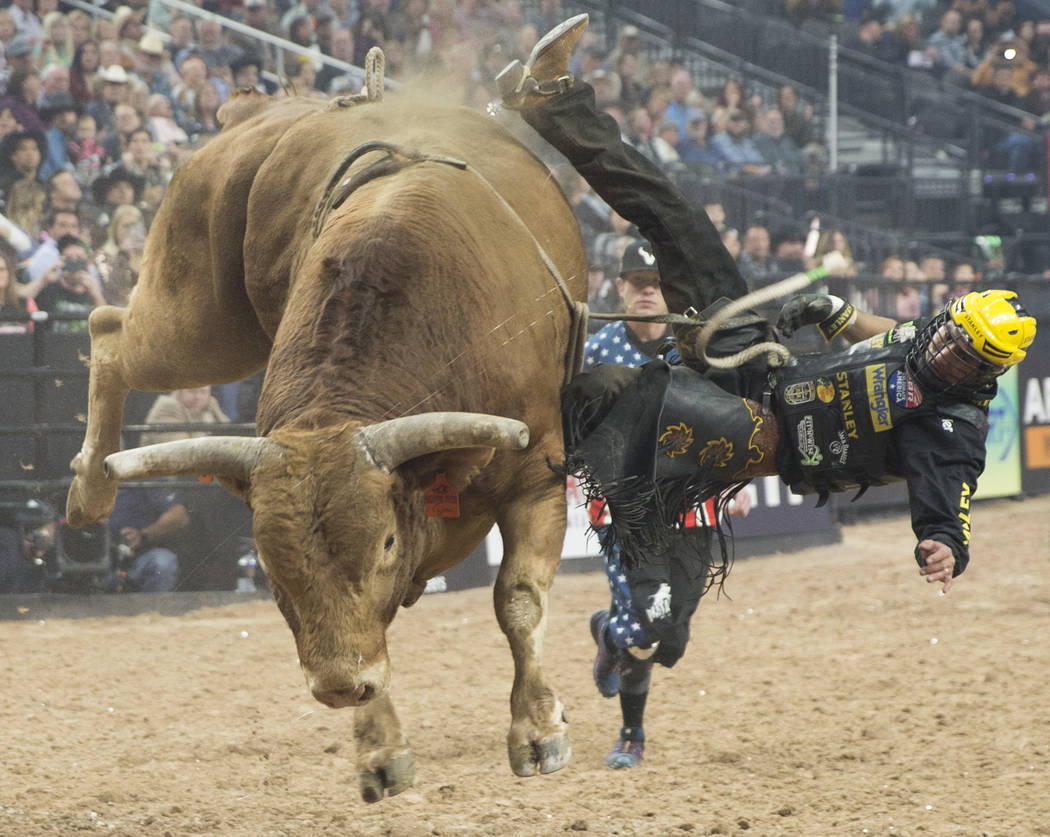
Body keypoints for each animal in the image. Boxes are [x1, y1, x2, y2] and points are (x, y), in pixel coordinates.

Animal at [63, 88, 592, 798]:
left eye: (388, 542)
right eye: (267, 559)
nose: (338, 686)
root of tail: (260, 111)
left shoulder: (536, 477)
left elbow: (518, 601)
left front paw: (537, 729)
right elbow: (371, 639)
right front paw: (379, 750)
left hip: (204, 326)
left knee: (108, 327)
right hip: (200, 314)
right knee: (109, 331)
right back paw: (91, 486)